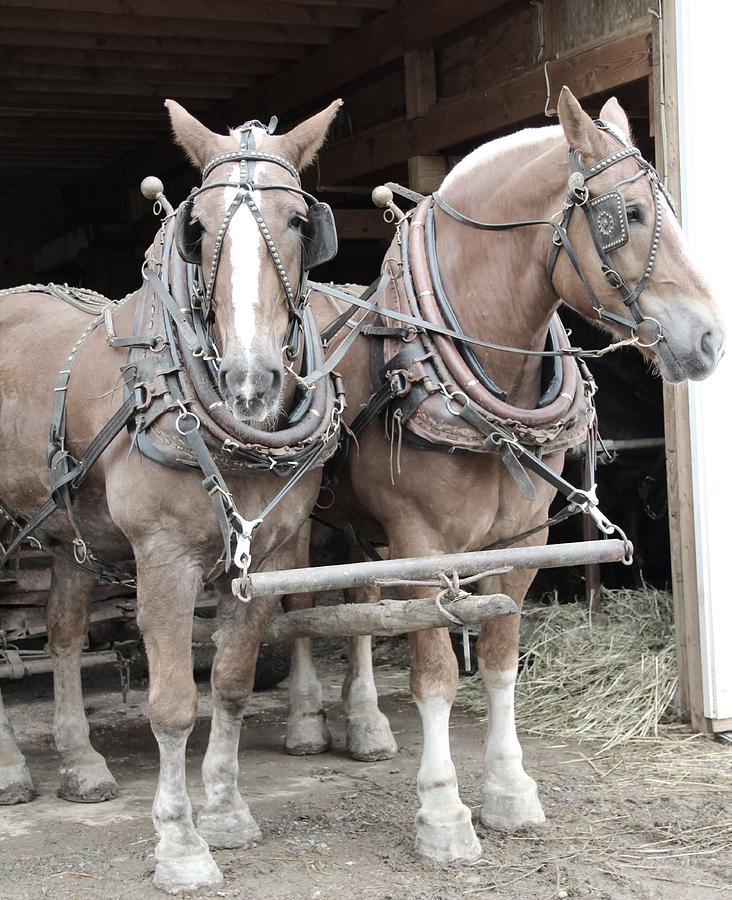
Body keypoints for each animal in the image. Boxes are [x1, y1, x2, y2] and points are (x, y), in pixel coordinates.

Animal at [0, 100, 344, 892]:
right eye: (199, 227)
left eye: (298, 220)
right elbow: (173, 705)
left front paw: (225, 811)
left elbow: (232, 681)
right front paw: (181, 843)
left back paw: (82, 763)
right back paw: (10, 769)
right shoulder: (164, 559)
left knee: (64, 632)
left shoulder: (264, 557)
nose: (251, 382)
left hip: (67, 531)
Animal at [284, 88, 720, 860]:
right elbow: (435, 672)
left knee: (361, 602)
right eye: (629, 215)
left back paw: (364, 724)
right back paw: (308, 720)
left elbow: (497, 662)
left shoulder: (520, 544)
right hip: (310, 520)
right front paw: (442, 811)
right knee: (306, 602)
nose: (708, 339)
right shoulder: (423, 547)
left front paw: (510, 790)